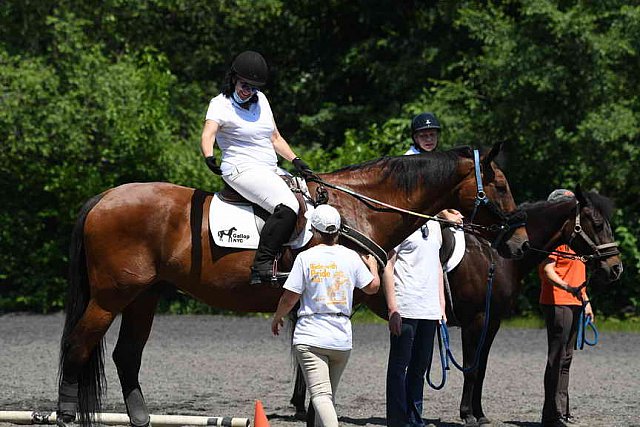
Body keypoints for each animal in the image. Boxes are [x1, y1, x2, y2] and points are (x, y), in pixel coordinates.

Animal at [55, 145, 528, 427]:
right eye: (502, 185)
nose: (519, 243)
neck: (355, 210)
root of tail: (104, 198)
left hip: (143, 297)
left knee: (126, 354)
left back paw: (138, 417)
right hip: (111, 297)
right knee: (78, 346)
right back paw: (65, 414)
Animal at [290, 186, 620, 427]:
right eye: (598, 224)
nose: (615, 268)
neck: (494, 256)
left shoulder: (492, 322)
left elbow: (481, 368)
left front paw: (480, 412)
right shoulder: (476, 320)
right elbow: (471, 369)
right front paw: (468, 414)